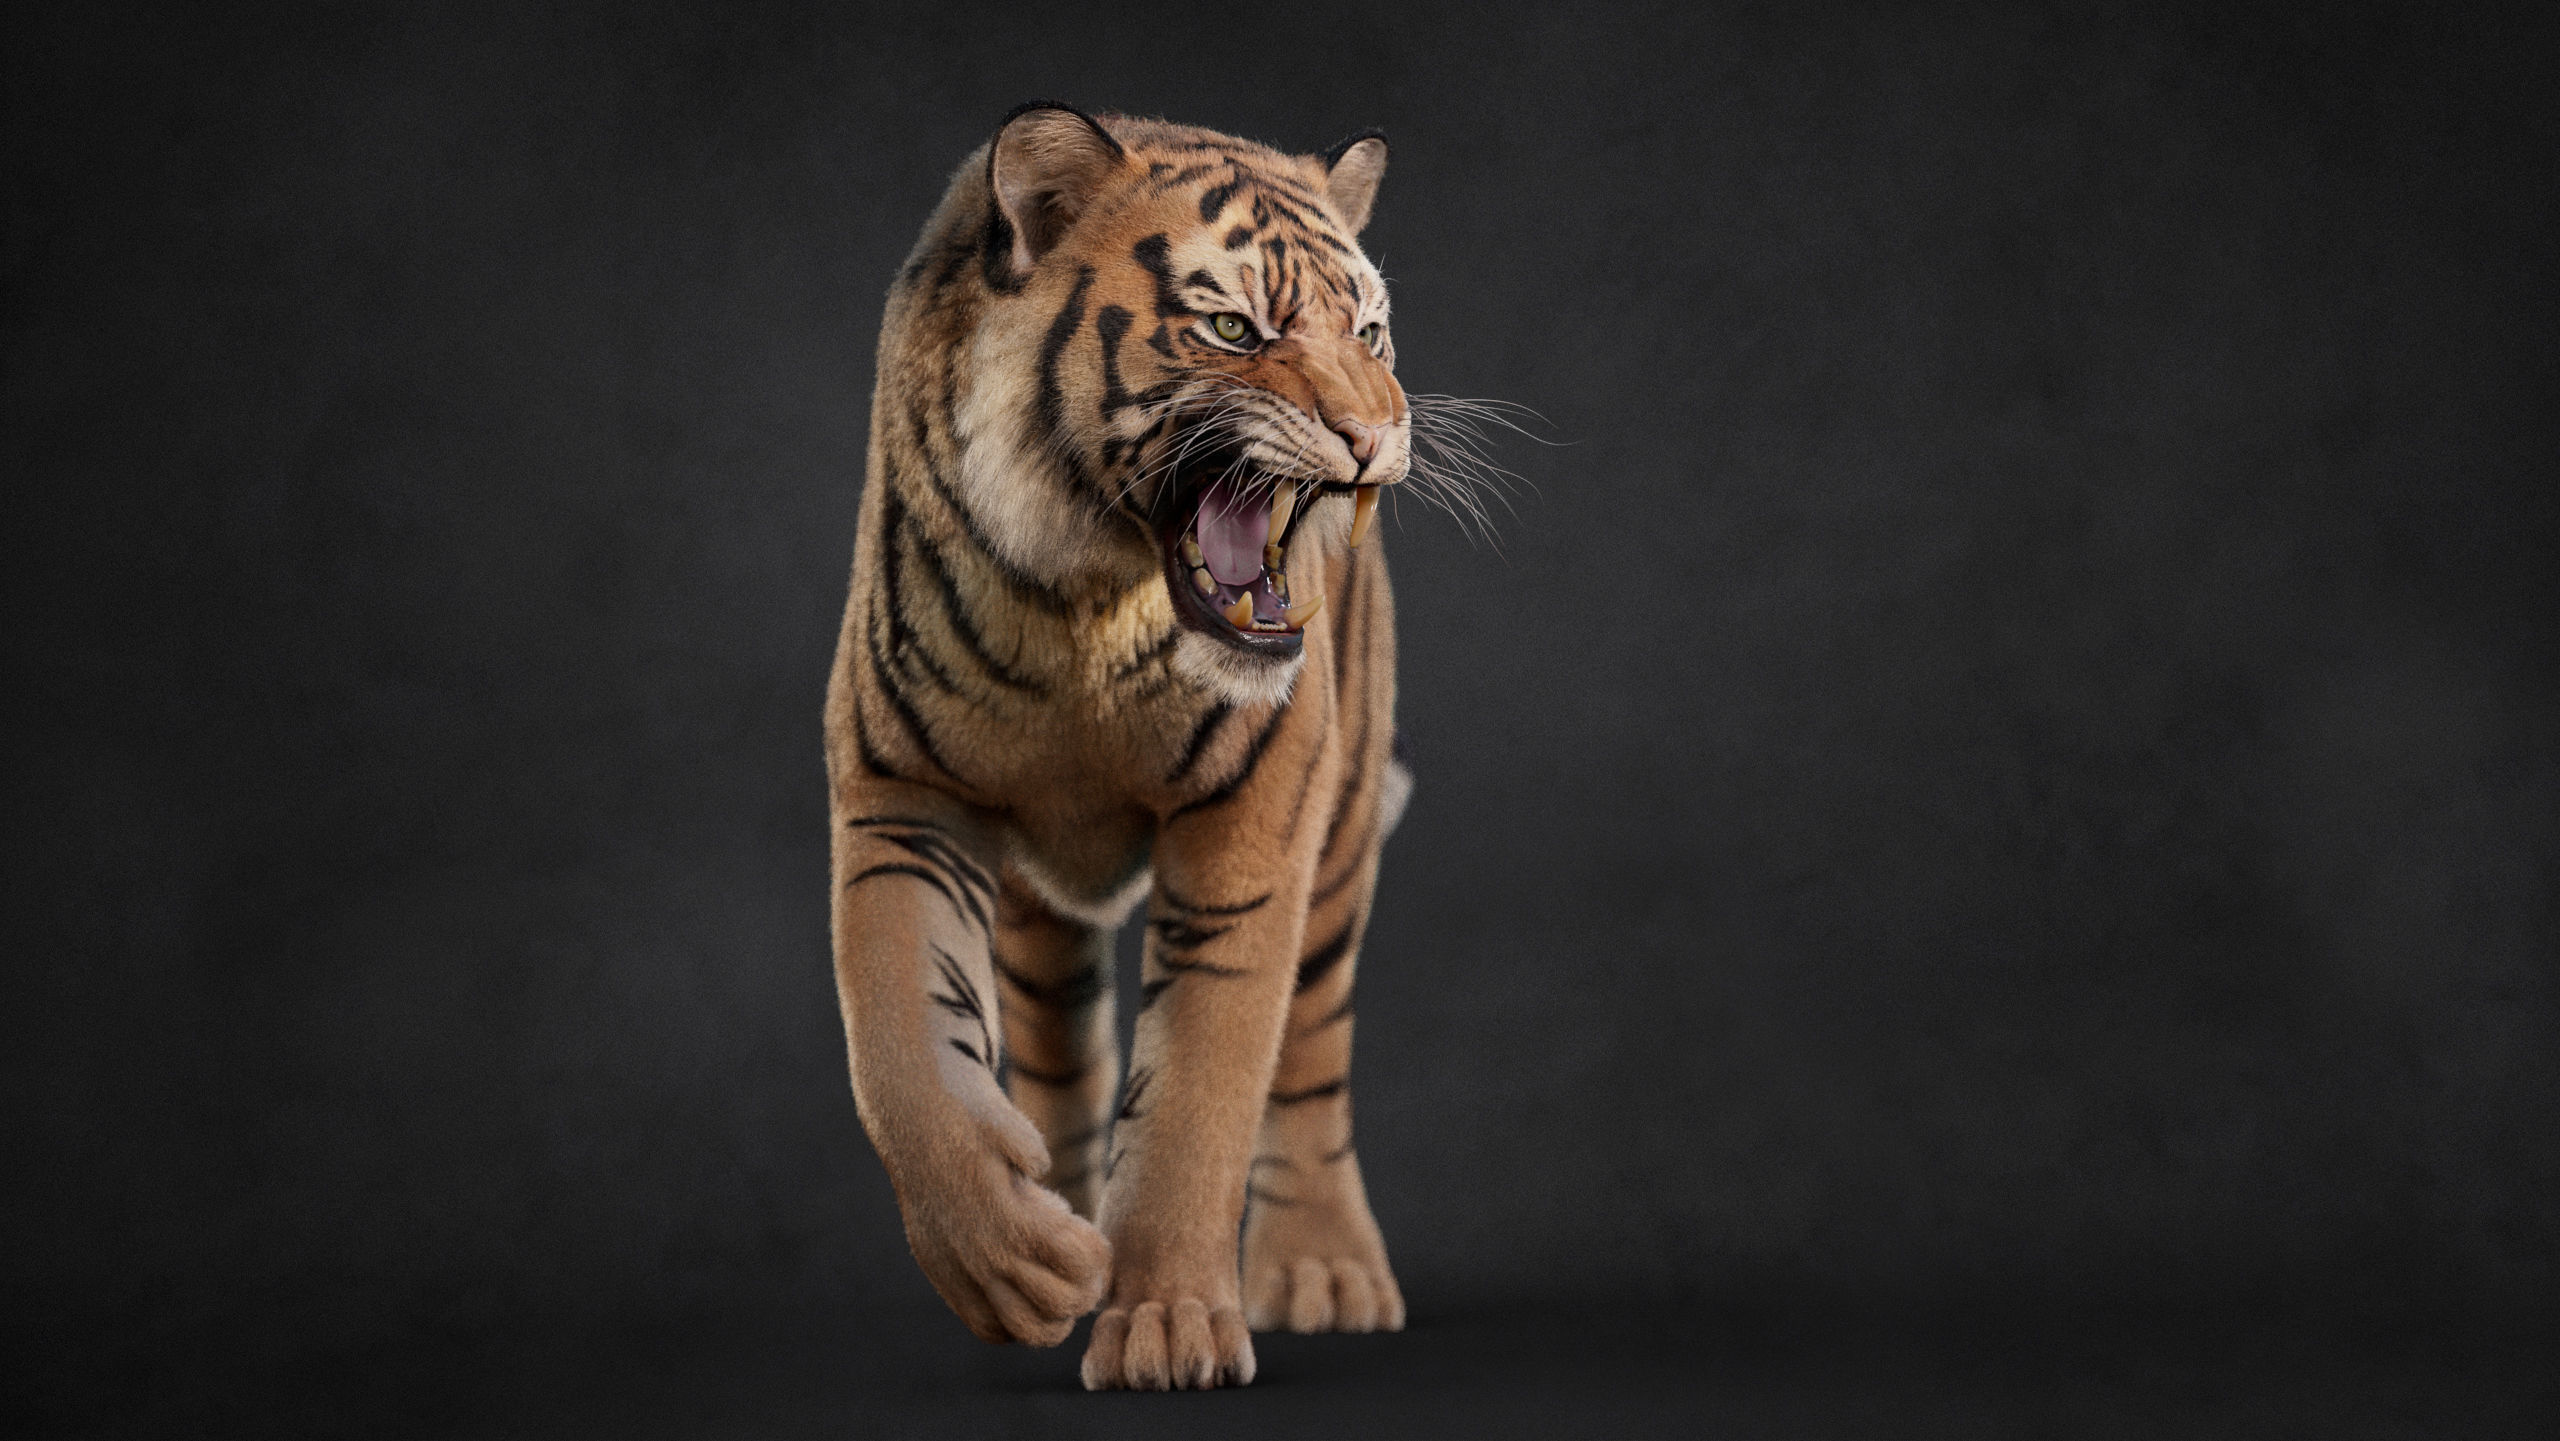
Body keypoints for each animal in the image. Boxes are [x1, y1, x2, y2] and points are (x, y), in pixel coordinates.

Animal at [824, 103, 1425, 1392]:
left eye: (1368, 332)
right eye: (1233, 328)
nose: (1376, 433)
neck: (1083, 602)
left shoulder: (1252, 825)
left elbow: (1201, 1087)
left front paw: (1168, 1323)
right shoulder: (902, 794)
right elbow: (900, 1047)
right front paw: (1012, 1261)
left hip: (1340, 834)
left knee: (1311, 1054)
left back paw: (1326, 1269)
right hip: (1034, 906)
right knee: (1053, 1045)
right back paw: (1060, 1211)